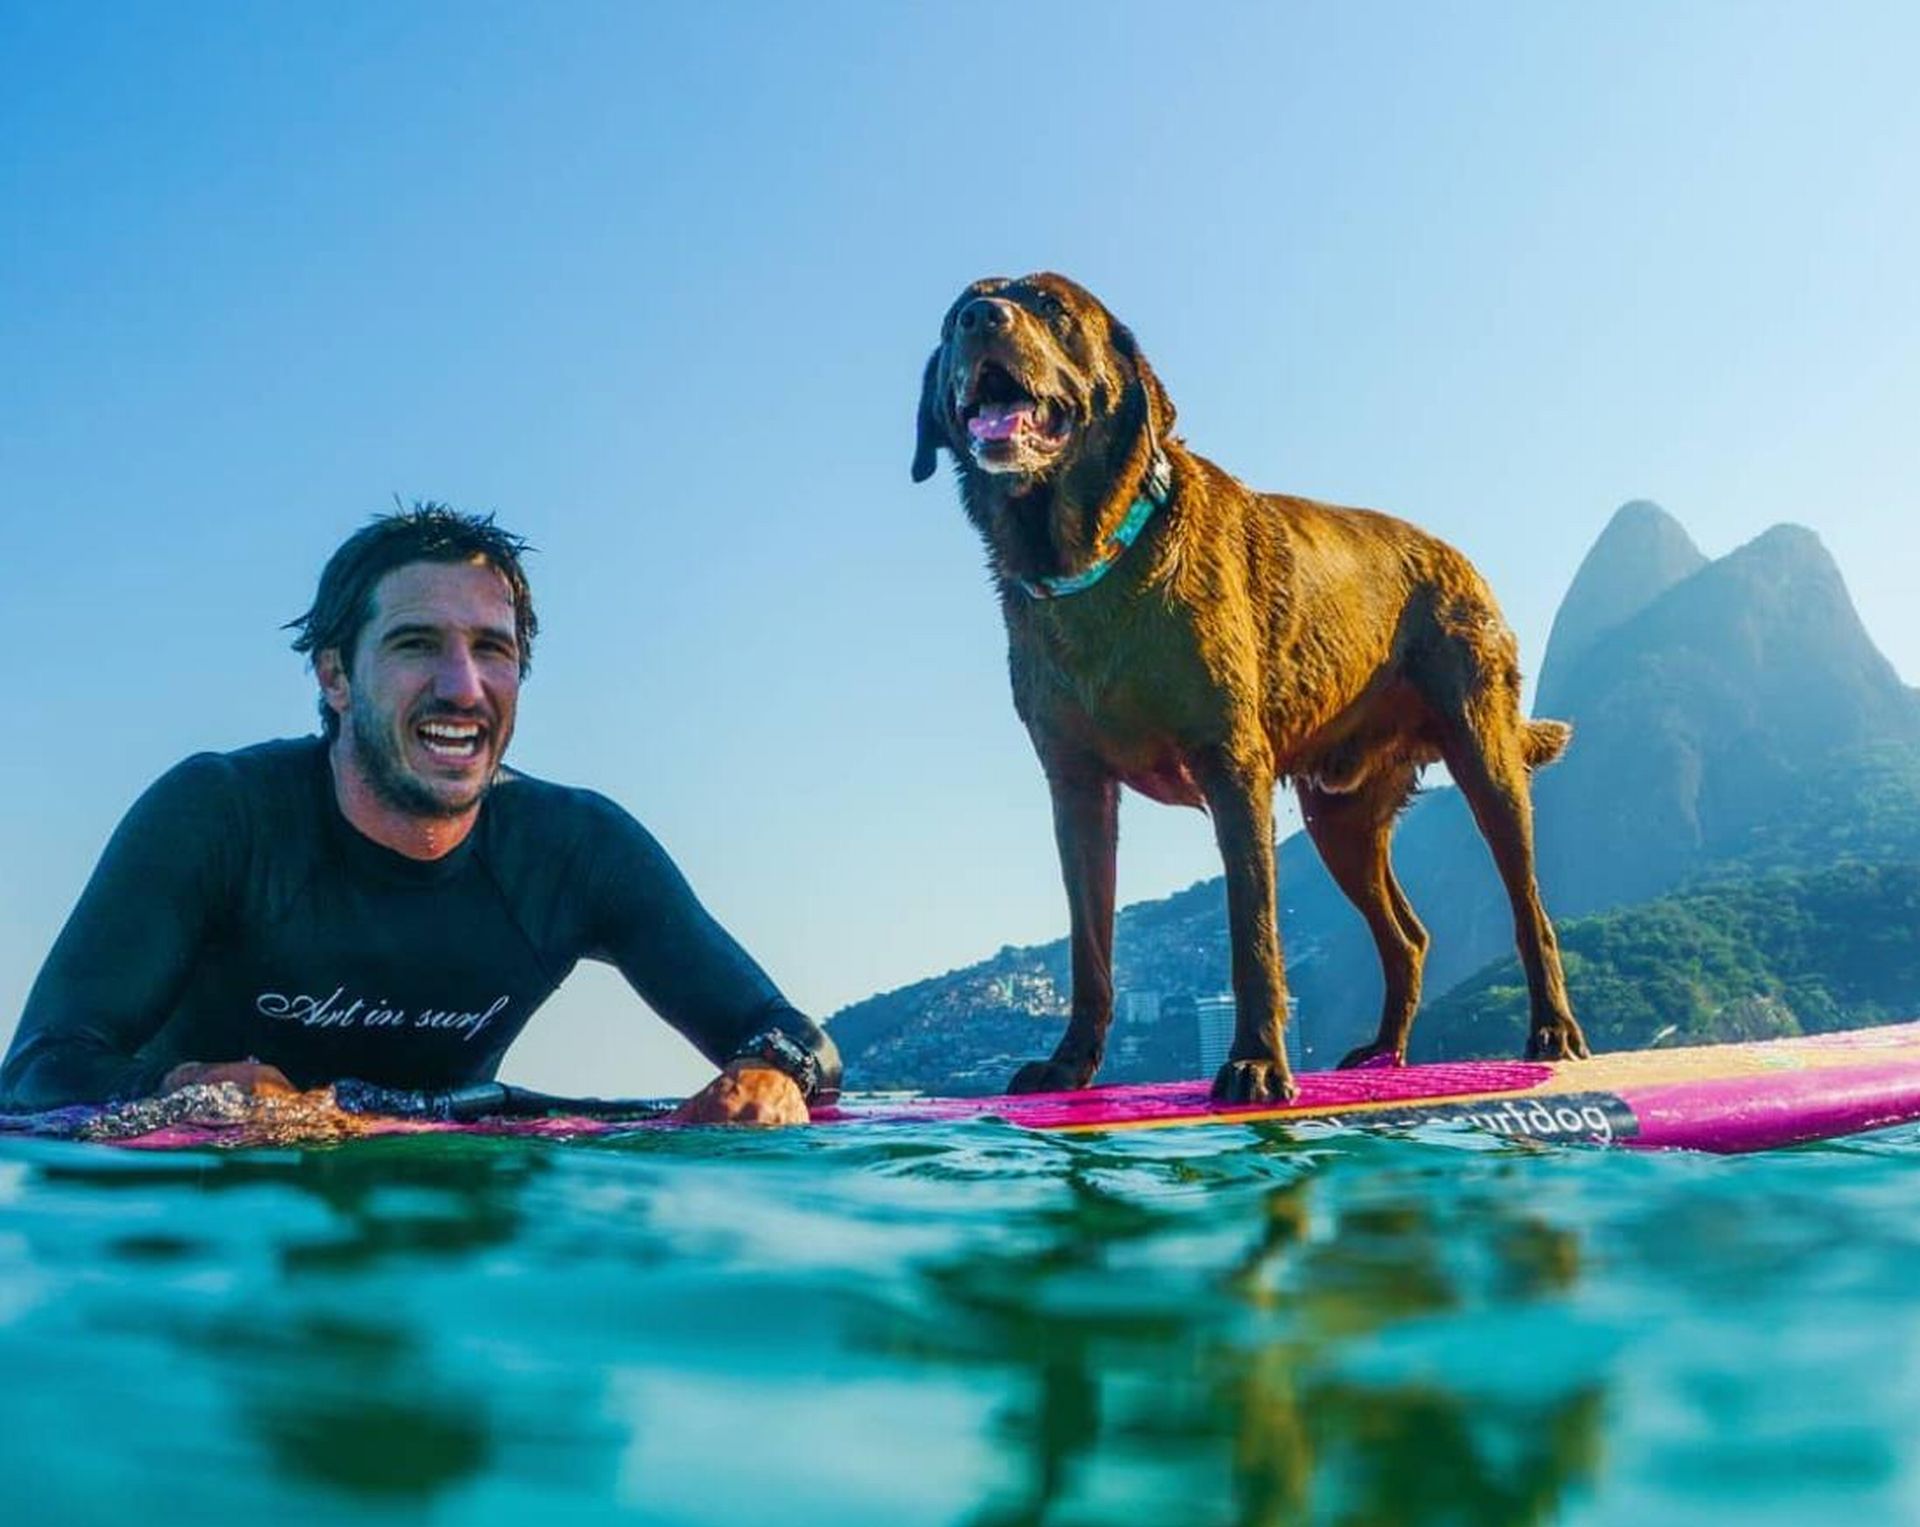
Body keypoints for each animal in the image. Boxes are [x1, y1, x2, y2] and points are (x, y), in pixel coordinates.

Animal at [913, 274, 1589, 1106]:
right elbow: (1089, 946)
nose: (981, 318)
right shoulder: (1076, 790)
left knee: (1531, 909)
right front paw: (1071, 1061)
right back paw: (1385, 1050)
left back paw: (1552, 1028)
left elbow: (1253, 933)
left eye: (1052, 309)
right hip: (1339, 817)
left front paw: (1258, 1061)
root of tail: (1457, 558)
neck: (1095, 559)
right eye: (954, 317)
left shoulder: (1233, 770)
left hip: (1485, 755)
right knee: (1407, 937)